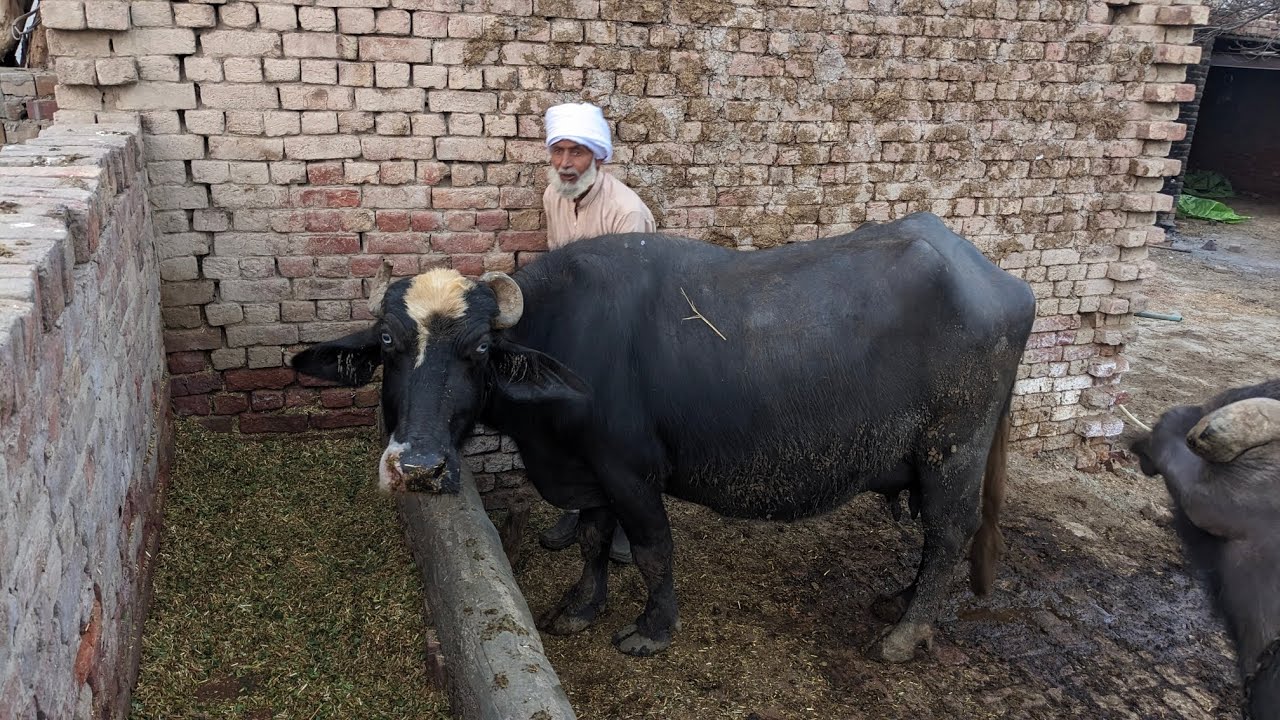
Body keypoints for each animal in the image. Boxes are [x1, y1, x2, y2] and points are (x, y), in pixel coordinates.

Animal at [292, 212, 1037, 661]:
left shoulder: (631, 473)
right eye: (390, 346)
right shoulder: (584, 470)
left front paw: (652, 630)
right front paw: (580, 608)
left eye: (476, 351)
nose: (416, 467)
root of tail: (1001, 281)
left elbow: (652, 550)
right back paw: (897, 604)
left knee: (948, 533)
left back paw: (905, 634)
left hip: (953, 450)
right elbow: (592, 539)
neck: (566, 340)